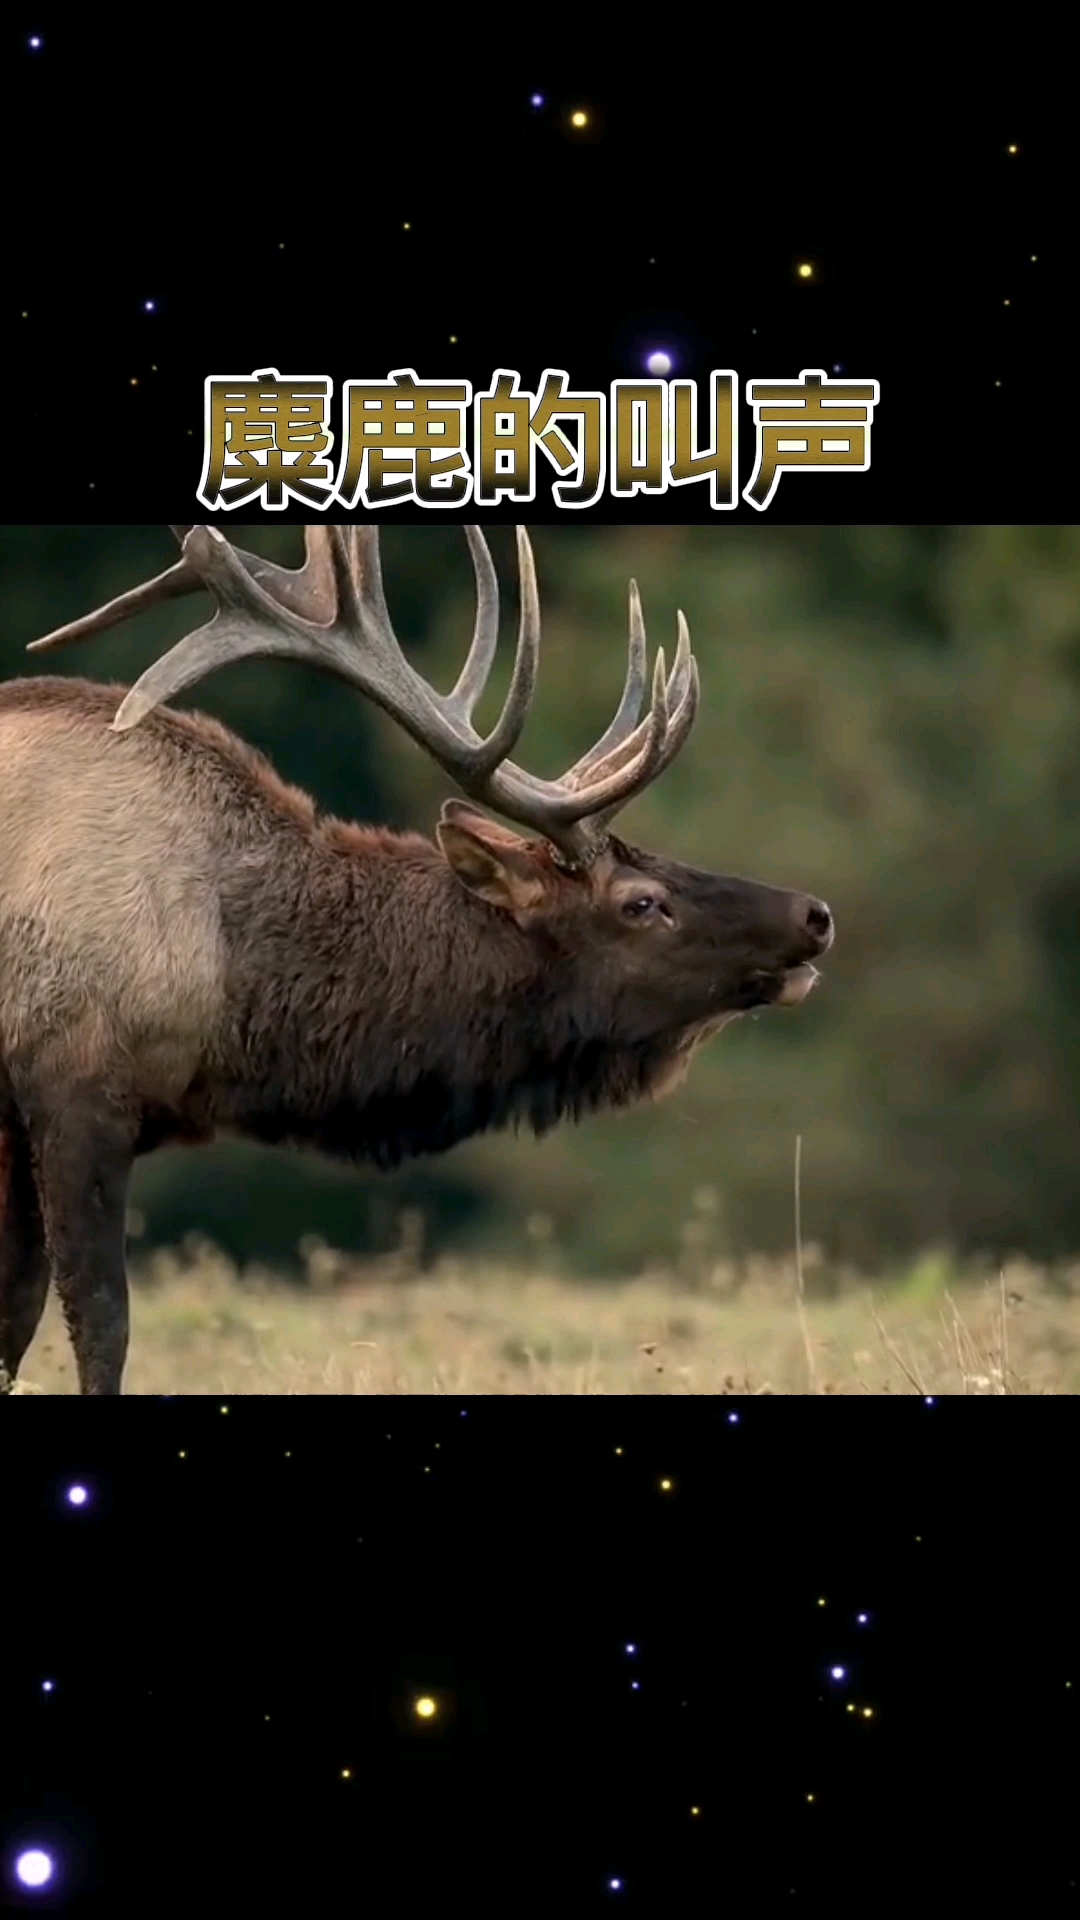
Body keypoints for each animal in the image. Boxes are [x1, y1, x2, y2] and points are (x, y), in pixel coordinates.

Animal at [0, 525, 833, 1394]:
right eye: (642, 902)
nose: (813, 914)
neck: (233, 996)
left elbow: (15, 1319)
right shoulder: (74, 1078)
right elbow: (100, 1321)